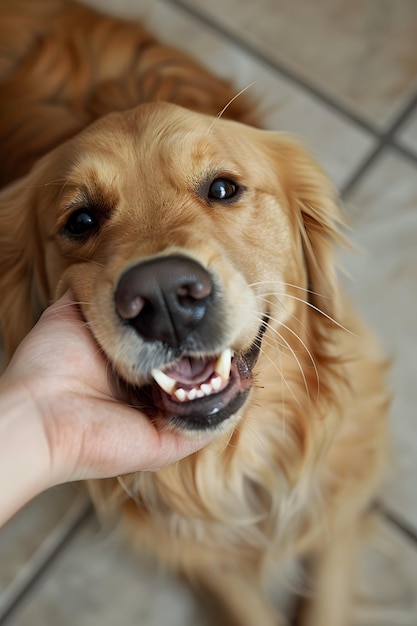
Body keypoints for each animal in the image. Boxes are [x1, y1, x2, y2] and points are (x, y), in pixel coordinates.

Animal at [1, 1, 388, 624]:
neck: (236, 460)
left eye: (224, 188)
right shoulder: (190, 549)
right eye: (80, 221)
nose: (162, 296)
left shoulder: (343, 491)